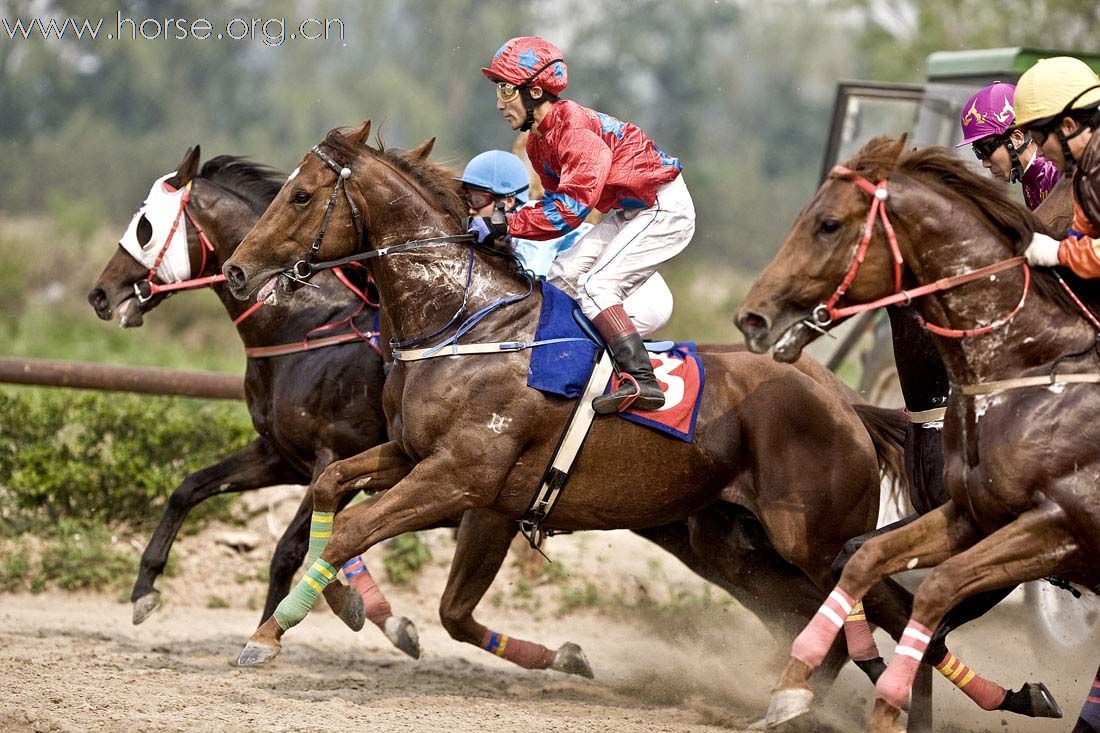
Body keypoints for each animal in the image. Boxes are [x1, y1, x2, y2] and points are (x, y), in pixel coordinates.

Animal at [90, 140, 880, 686]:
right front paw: (148, 592)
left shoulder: (444, 475)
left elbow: (322, 537)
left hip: (803, 536)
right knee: (804, 606)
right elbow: (216, 489)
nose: (102, 295)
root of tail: (844, 401)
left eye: (145, 224)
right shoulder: (351, 456)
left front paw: (295, 626)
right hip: (715, 537)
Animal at [734, 135, 1100, 726]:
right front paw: (806, 684)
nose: (754, 317)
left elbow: (934, 602)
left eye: (829, 224)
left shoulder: (1054, 530)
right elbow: (861, 560)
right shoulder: (967, 515)